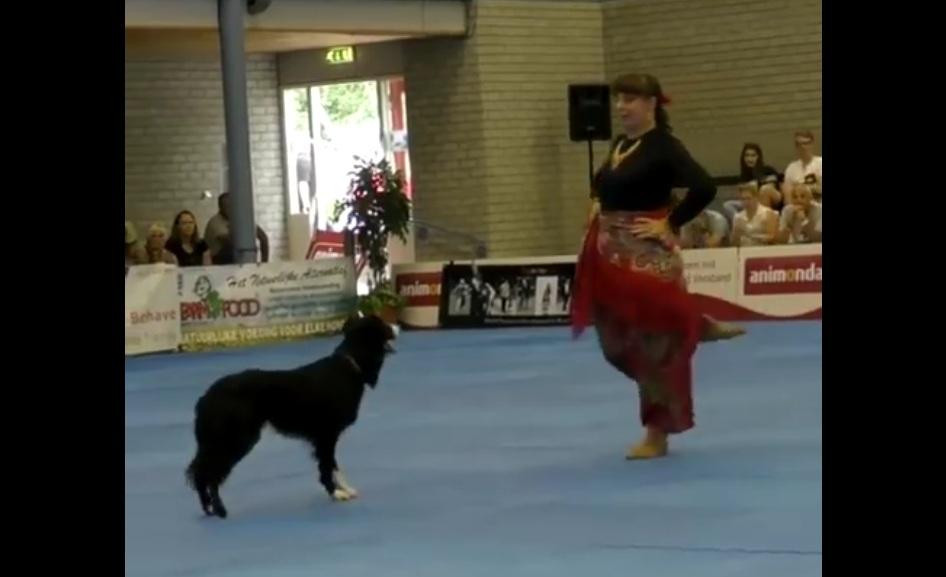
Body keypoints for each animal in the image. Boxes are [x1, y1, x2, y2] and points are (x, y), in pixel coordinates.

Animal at [184, 316, 394, 516]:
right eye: (382, 325)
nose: (395, 325)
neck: (349, 365)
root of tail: (206, 398)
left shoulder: (325, 437)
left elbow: (333, 465)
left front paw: (345, 489)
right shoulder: (327, 434)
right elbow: (327, 466)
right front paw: (336, 493)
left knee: (201, 472)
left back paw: (208, 508)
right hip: (236, 439)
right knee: (209, 473)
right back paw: (219, 510)